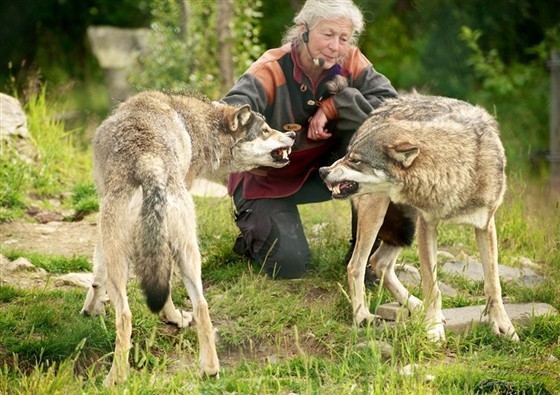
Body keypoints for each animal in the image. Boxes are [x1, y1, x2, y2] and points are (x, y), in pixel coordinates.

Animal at [80, 90, 296, 386]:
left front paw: (90, 308)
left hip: (134, 259)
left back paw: (116, 377)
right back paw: (210, 368)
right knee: (201, 306)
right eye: (265, 130)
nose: (293, 135)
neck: (195, 126)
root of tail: (150, 166)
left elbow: (97, 268)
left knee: (126, 315)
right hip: (187, 253)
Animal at [322, 93, 520, 344]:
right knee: (356, 265)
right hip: (379, 217)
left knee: (379, 262)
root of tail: (382, 107)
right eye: (348, 156)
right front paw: (434, 328)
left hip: (406, 228)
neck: (453, 170)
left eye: (355, 160)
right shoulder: (427, 225)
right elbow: (431, 285)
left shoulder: (485, 224)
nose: (323, 171)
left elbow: (493, 283)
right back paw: (362, 316)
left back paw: (414, 305)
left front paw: (503, 326)